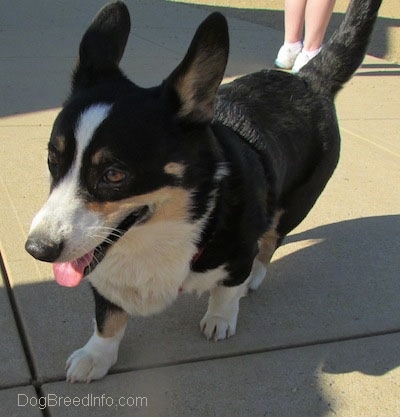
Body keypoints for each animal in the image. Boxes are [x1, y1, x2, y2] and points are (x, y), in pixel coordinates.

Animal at [24, 0, 382, 380]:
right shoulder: (102, 271)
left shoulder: (236, 254)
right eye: (52, 159)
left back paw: (256, 273)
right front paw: (96, 356)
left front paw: (220, 318)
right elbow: (107, 318)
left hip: (296, 204)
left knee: (272, 238)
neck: (155, 235)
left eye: (114, 174)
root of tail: (309, 80)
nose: (38, 249)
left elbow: (227, 290)